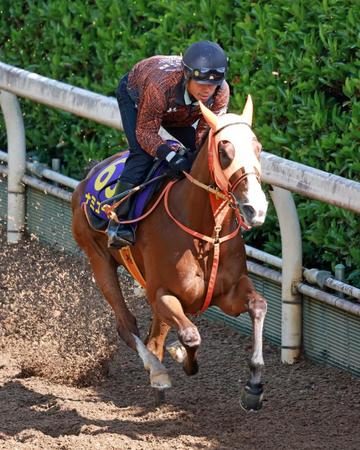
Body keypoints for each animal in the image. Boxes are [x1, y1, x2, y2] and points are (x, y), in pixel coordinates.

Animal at [71, 96, 268, 410]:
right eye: (224, 151)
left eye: (258, 148)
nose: (256, 209)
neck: (206, 233)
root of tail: (89, 174)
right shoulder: (162, 293)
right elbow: (191, 336)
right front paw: (180, 359)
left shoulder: (229, 293)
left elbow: (258, 306)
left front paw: (254, 387)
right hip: (98, 259)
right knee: (127, 325)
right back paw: (158, 373)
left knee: (153, 337)